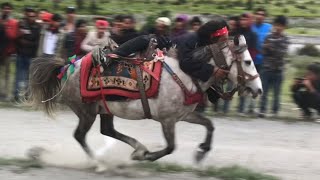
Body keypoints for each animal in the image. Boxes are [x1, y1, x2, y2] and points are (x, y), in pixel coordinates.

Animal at [28, 34, 262, 169]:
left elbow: (209, 125)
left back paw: (137, 149)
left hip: (104, 108)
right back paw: (99, 163)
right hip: (87, 111)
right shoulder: (167, 120)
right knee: (80, 135)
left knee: (107, 130)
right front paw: (146, 157)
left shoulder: (184, 115)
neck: (187, 71)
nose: (258, 89)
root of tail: (67, 67)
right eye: (247, 62)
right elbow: (171, 147)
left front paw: (201, 152)